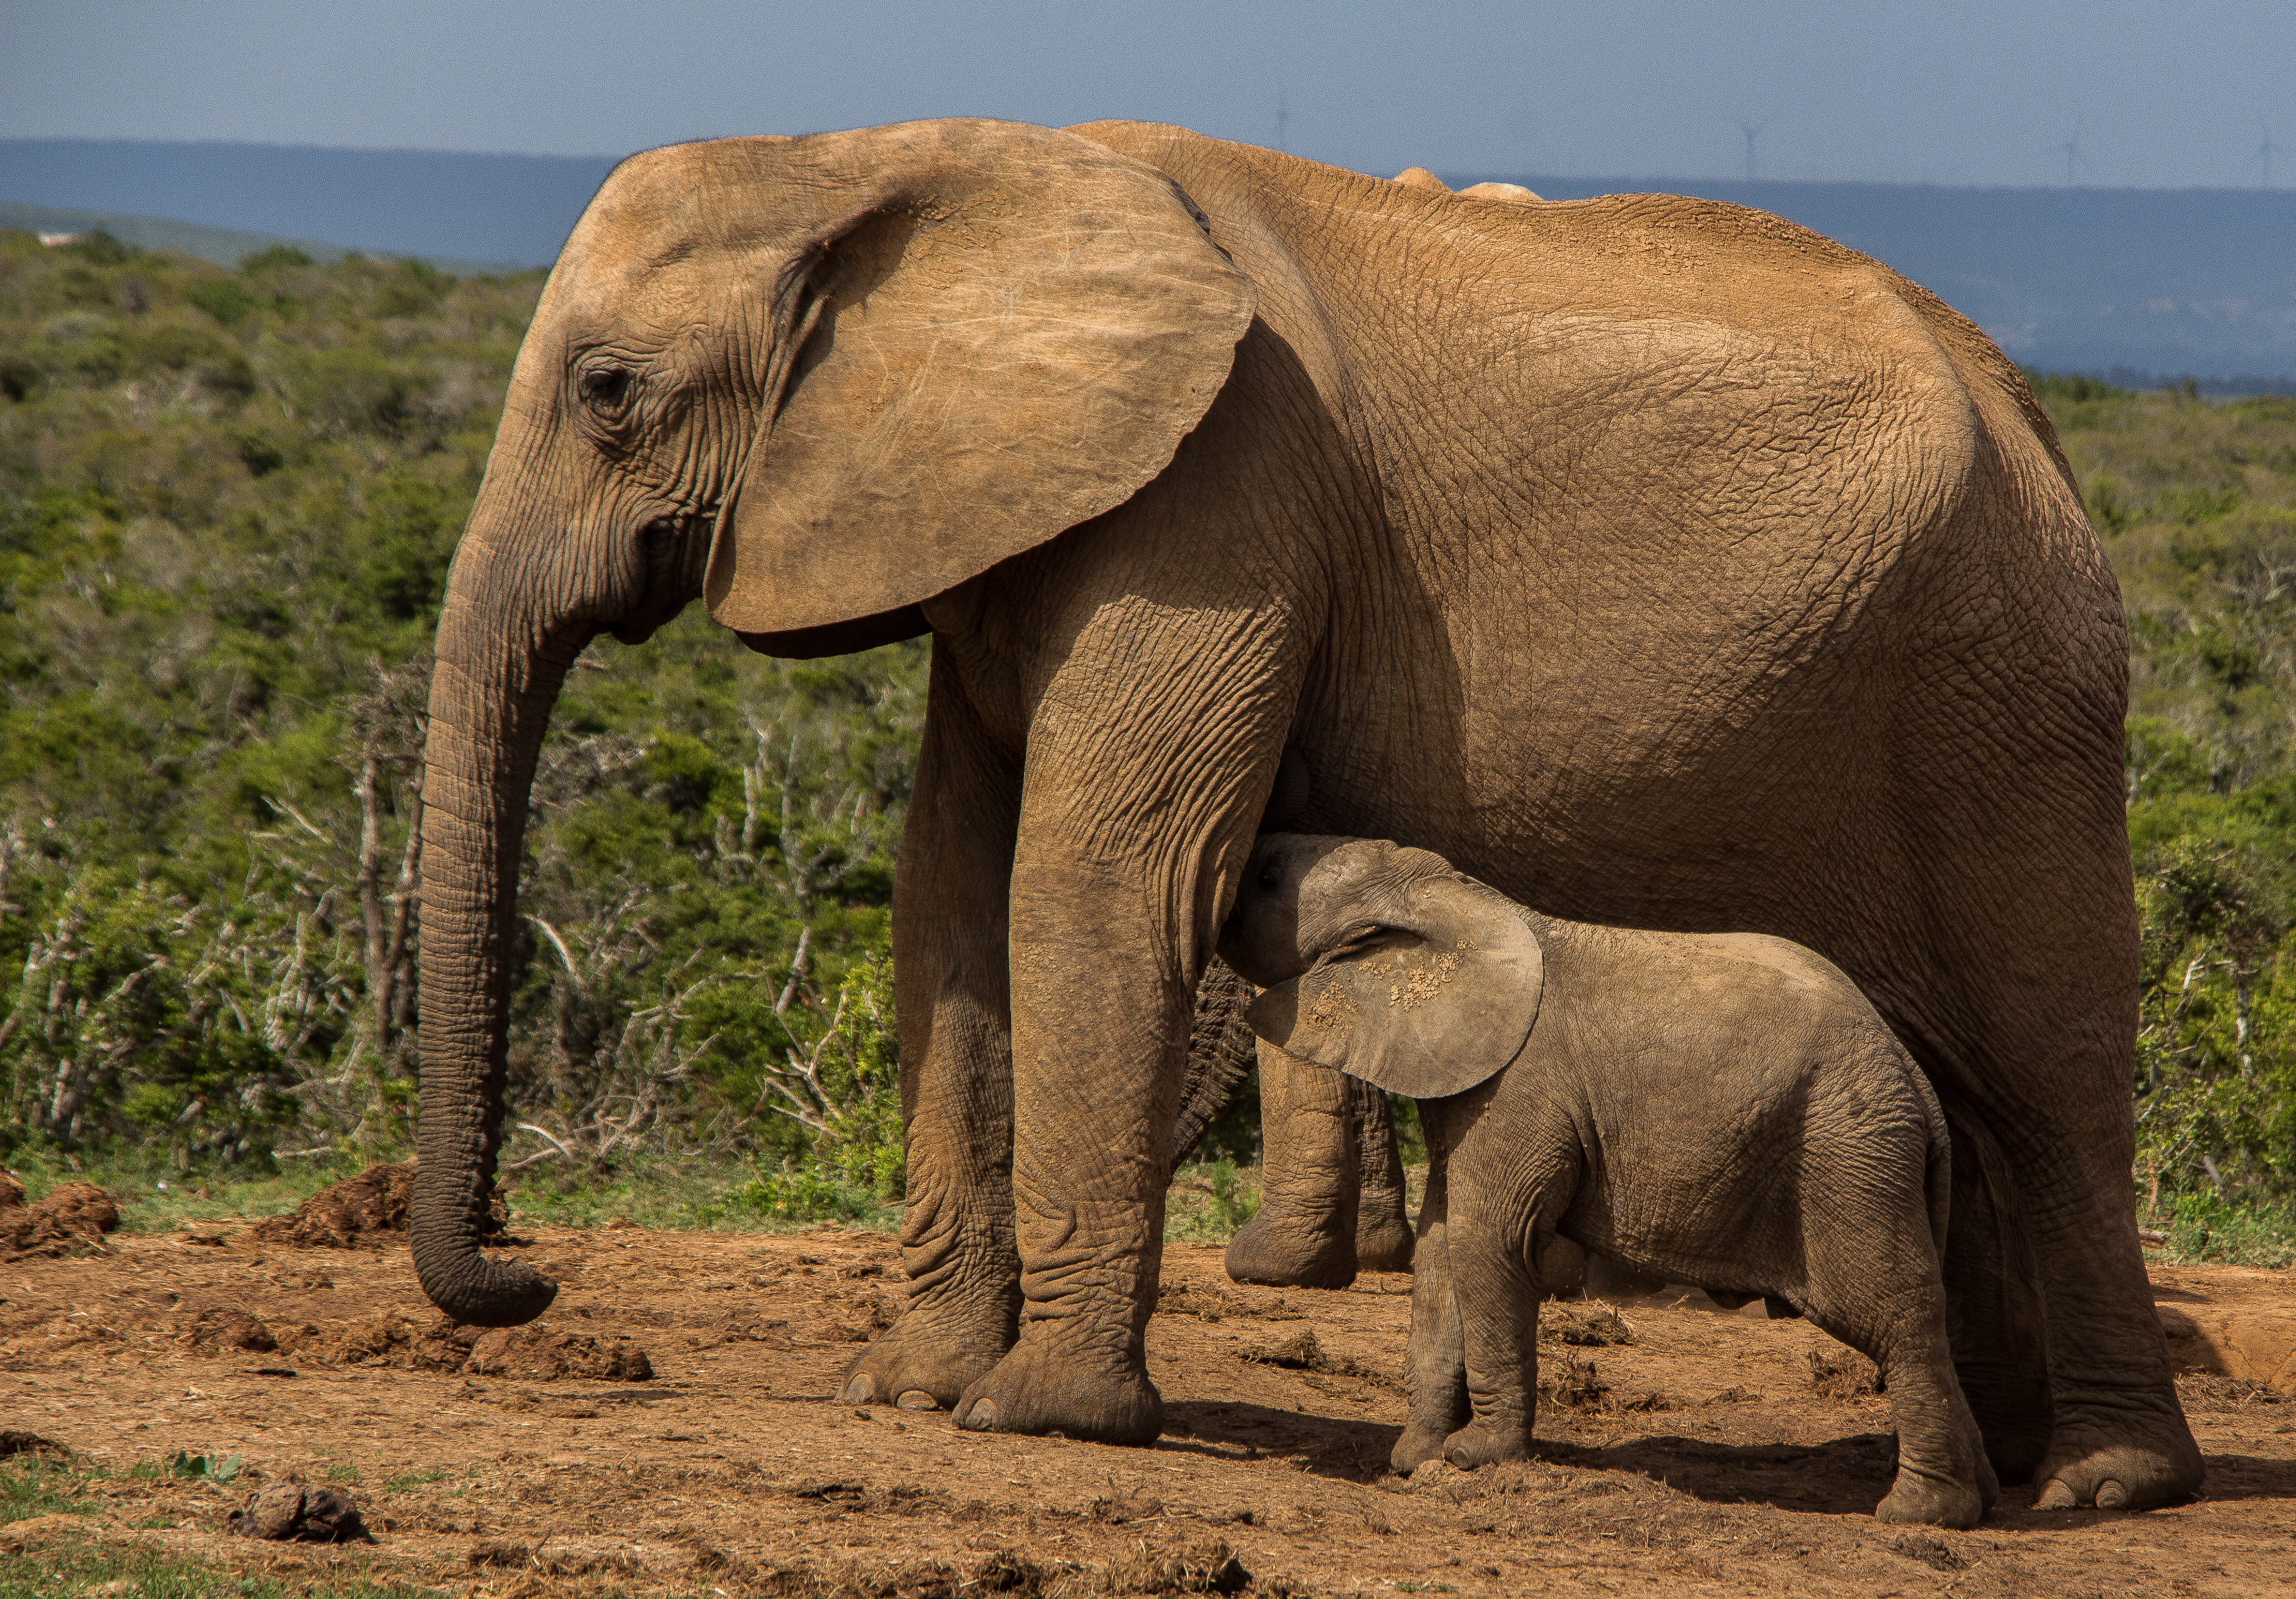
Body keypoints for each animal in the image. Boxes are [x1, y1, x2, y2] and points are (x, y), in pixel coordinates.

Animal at [1222, 834, 1999, 1527]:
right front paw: (1415, 1461)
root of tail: (1918, 1088)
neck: (1454, 893)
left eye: (1264, 878)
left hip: (1848, 1154)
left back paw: (1919, 1513)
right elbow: (1442, 1247)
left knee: (1893, 1314)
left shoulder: (1521, 1086)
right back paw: (1981, 1500)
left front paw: (1475, 1458)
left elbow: (1486, 1241)